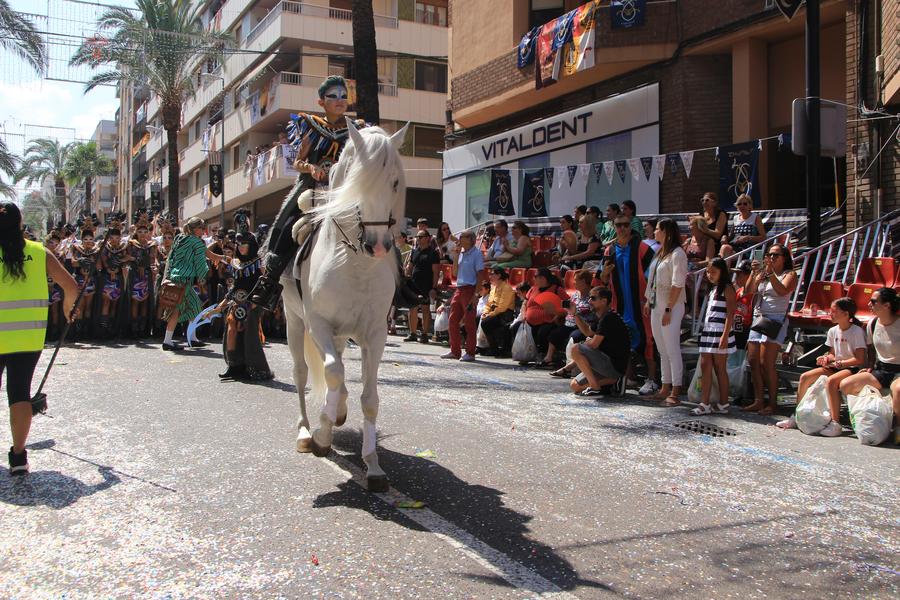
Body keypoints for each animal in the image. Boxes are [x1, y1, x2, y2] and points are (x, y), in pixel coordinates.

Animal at [282, 118, 408, 492]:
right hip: (293, 321)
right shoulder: (318, 324)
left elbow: (370, 399)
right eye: (356, 181)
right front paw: (322, 436)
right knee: (304, 373)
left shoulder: (375, 334)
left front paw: (374, 466)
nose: (378, 245)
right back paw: (306, 432)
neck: (355, 265)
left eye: (394, 181)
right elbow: (333, 373)